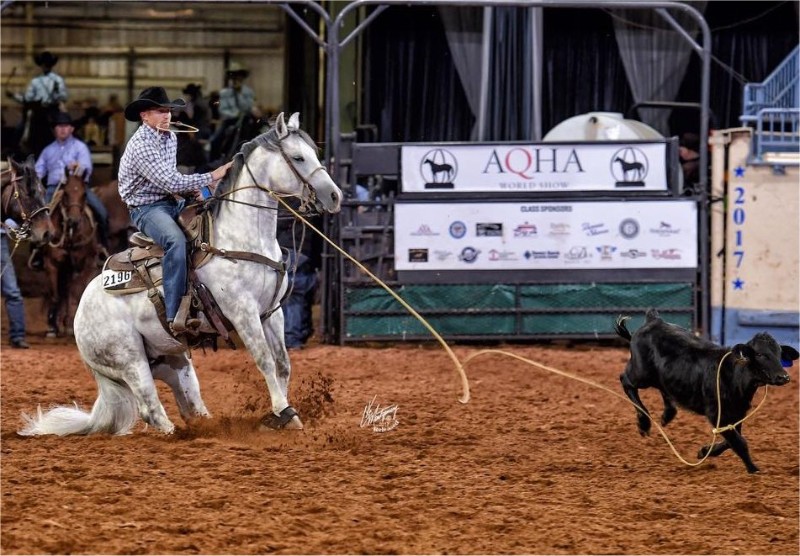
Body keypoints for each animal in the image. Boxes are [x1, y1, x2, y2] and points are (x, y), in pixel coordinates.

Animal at [41, 169, 103, 337]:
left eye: (84, 194)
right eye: (66, 193)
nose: (73, 221)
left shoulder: (86, 264)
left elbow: (74, 292)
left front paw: (69, 323)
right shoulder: (51, 263)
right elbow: (55, 295)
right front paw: (51, 326)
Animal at [615, 308, 799, 473]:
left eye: (779, 353)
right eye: (760, 354)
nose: (784, 377)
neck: (733, 375)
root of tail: (654, 320)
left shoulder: (737, 414)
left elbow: (732, 441)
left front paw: (704, 451)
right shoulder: (717, 414)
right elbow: (740, 443)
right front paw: (754, 469)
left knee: (662, 387)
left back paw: (667, 415)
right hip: (641, 373)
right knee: (626, 381)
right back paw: (644, 423)